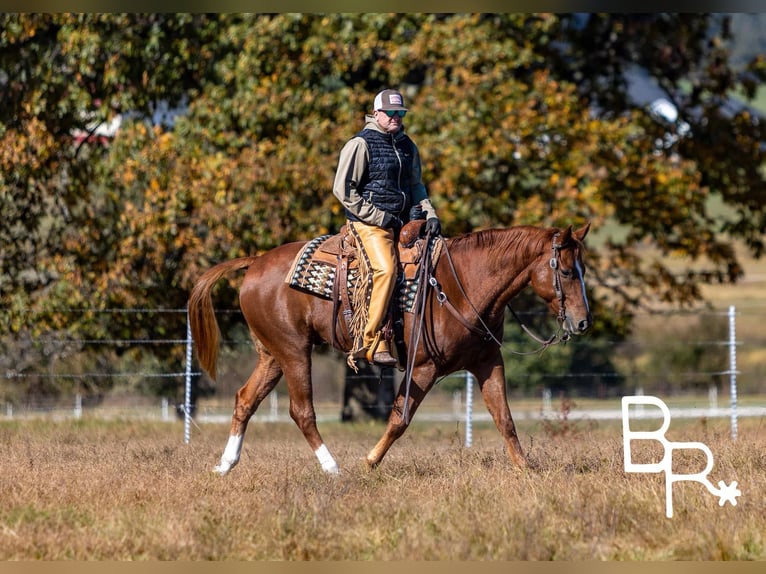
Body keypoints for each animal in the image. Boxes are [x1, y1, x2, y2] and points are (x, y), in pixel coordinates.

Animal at [188, 224, 592, 476]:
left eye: (583, 269)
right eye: (567, 271)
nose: (583, 322)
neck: (459, 283)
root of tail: (255, 261)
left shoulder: (488, 362)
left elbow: (504, 419)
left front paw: (526, 471)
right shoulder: (424, 367)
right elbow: (400, 418)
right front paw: (369, 462)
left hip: (273, 355)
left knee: (245, 399)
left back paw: (225, 465)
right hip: (294, 351)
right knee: (301, 411)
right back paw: (333, 468)